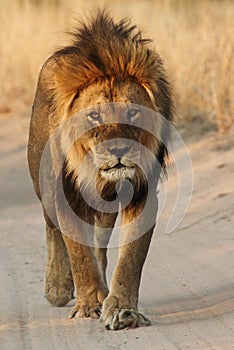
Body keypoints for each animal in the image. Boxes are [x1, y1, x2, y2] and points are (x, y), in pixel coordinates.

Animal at [27, 9, 174, 330]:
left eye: (133, 112)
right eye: (94, 115)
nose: (118, 150)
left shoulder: (143, 193)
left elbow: (130, 258)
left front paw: (122, 309)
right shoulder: (66, 192)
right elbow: (77, 253)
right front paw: (89, 305)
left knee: (97, 244)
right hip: (43, 183)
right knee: (52, 228)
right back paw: (57, 287)